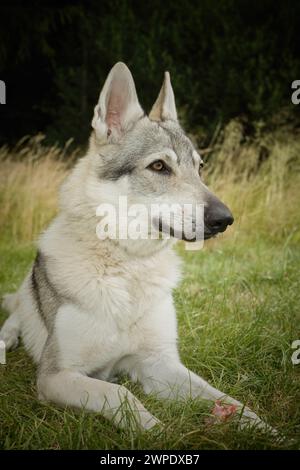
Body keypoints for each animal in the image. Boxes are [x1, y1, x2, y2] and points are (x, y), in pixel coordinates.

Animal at [0, 62, 270, 434]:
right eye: (159, 166)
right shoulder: (55, 376)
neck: (127, 266)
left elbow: (227, 399)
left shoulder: (159, 363)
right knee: (13, 315)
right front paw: (160, 431)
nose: (225, 219)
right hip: (27, 298)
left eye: (199, 168)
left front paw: (266, 430)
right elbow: (118, 393)